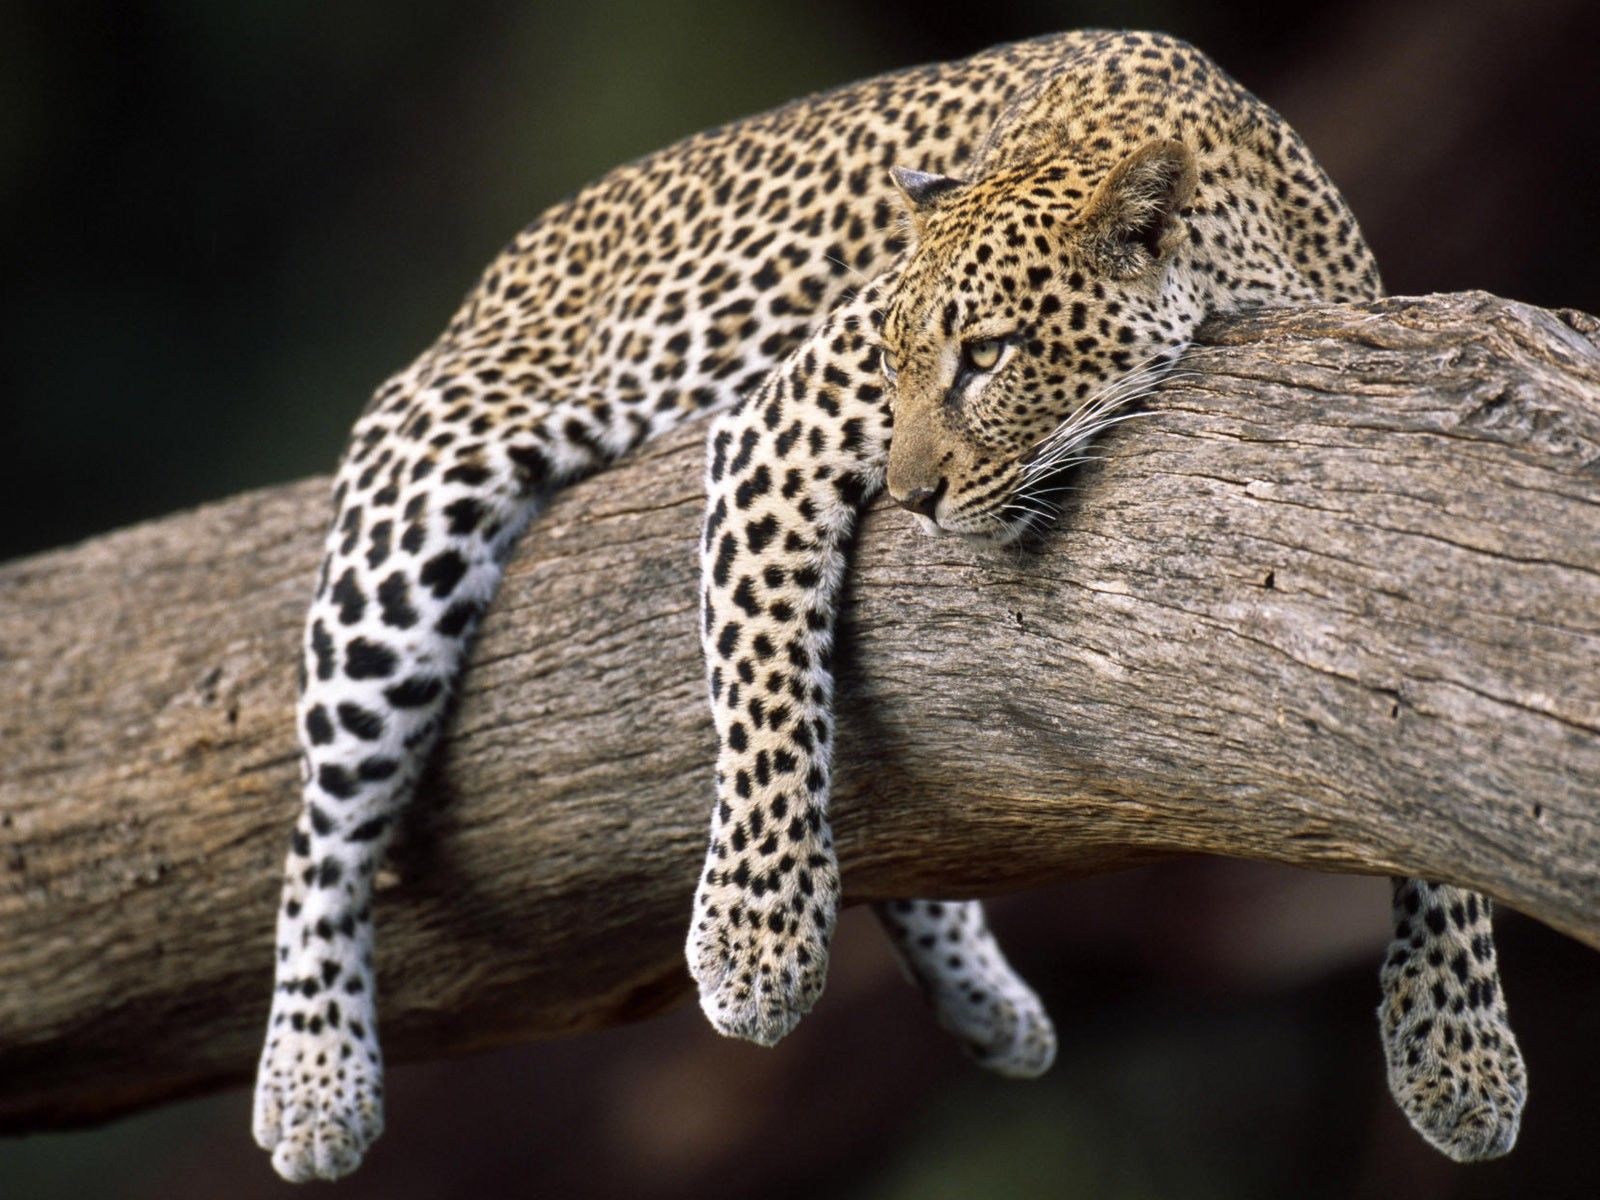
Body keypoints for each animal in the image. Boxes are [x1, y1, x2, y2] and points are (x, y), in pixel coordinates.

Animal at [253, 28, 1522, 1183]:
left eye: (989, 355)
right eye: (893, 360)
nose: (911, 499)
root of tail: (505, 264)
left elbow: (1436, 773)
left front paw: (1457, 1049)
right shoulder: (775, 425)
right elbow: (767, 682)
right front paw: (755, 942)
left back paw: (985, 1002)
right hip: (415, 512)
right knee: (326, 826)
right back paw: (313, 1080)